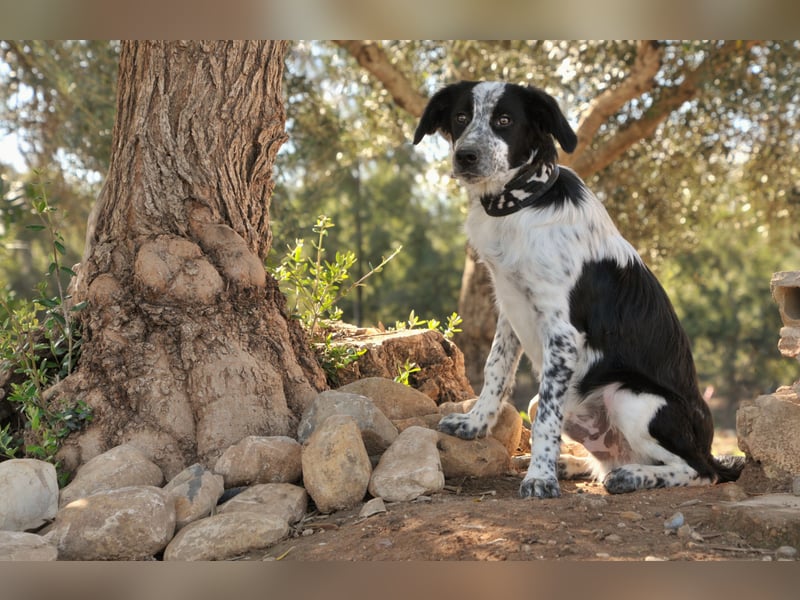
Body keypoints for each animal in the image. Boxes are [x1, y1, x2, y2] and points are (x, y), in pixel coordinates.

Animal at [412, 82, 744, 500]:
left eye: (504, 120)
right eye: (460, 117)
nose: (465, 156)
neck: (521, 205)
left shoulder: (562, 333)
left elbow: (545, 422)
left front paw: (539, 478)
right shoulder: (509, 308)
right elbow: (495, 369)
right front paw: (475, 424)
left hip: (631, 397)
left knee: (700, 470)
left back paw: (633, 476)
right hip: (551, 402)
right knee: (603, 462)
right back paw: (573, 464)